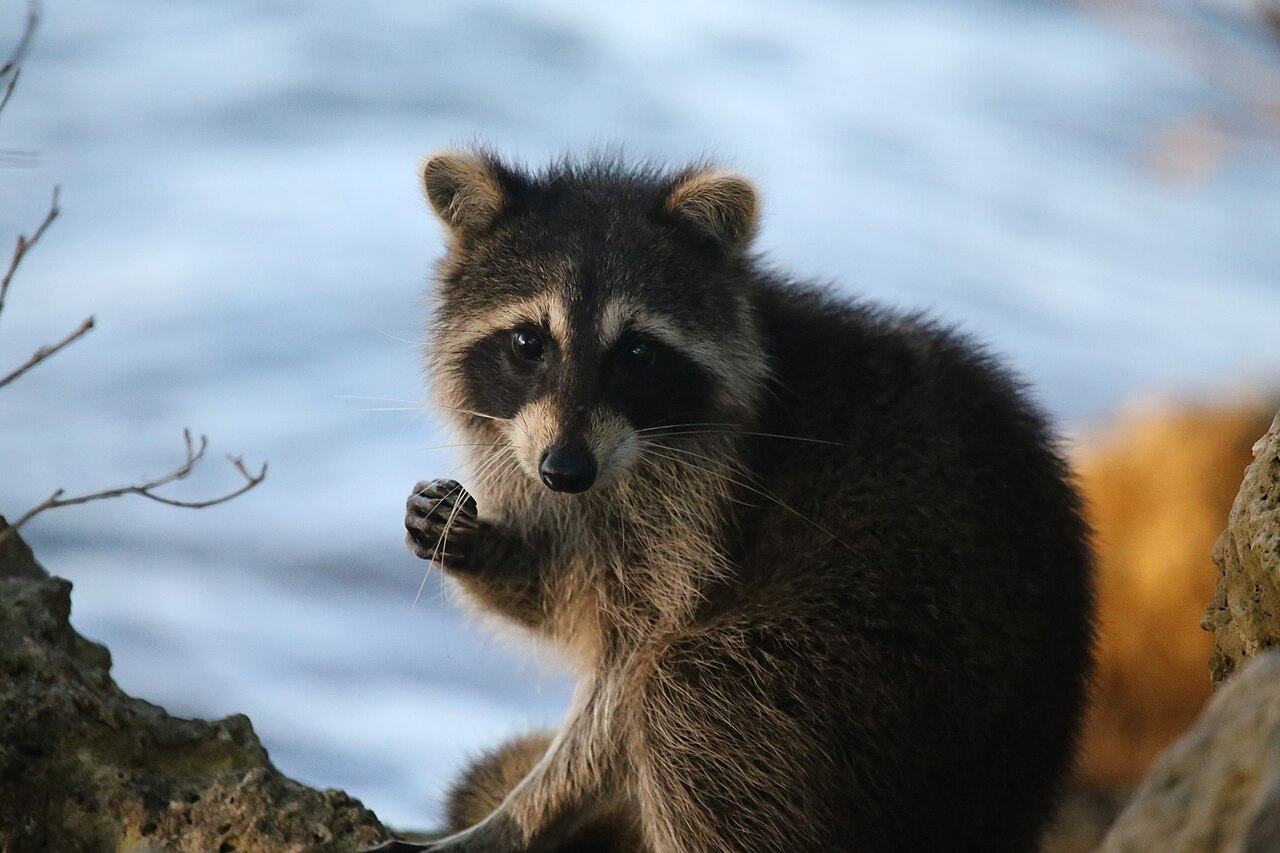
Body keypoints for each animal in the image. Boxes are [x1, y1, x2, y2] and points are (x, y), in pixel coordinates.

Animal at [378, 151, 1094, 853]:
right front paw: (474, 544)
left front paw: (521, 816)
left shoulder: (705, 507)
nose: (565, 470)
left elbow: (627, 675)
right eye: (529, 342)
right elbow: (570, 596)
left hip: (886, 672)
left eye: (637, 352)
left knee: (688, 694)